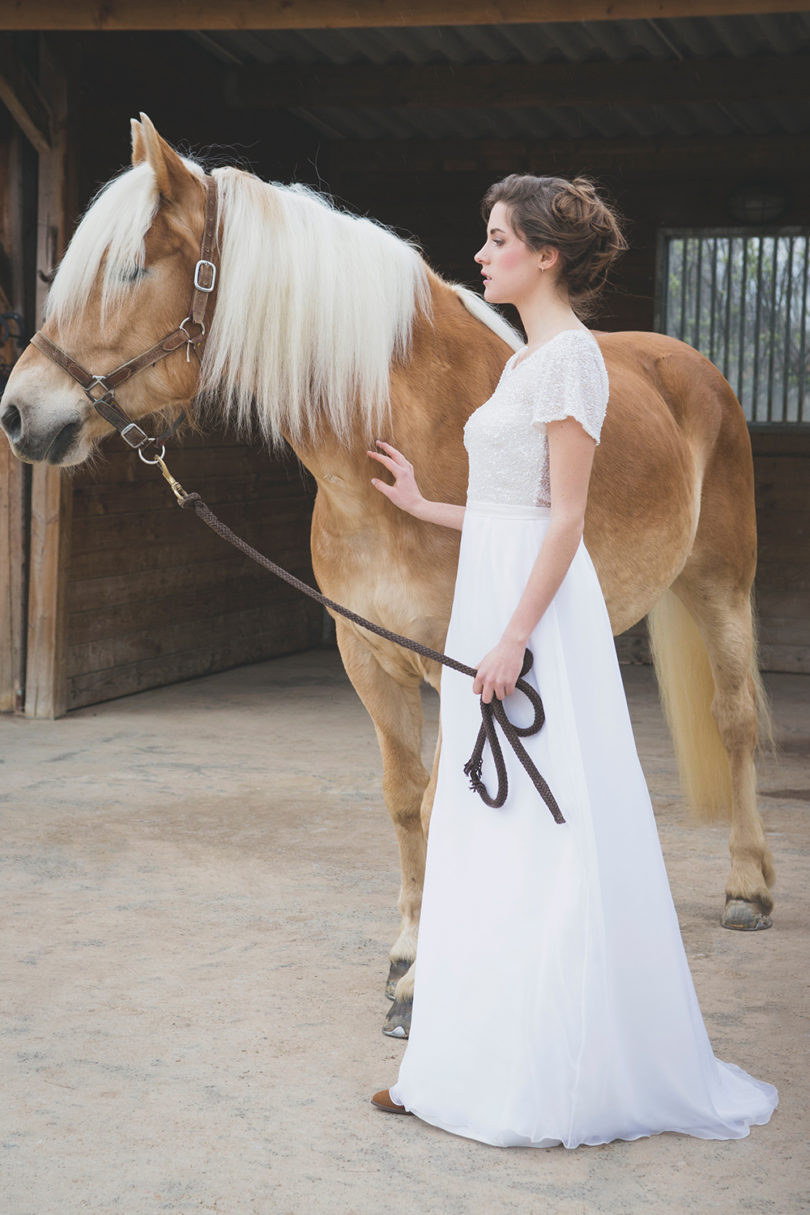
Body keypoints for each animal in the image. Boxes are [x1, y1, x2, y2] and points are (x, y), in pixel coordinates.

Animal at [1, 118, 772, 1040]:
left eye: (127, 270)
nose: (17, 414)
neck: (405, 440)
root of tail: (693, 367)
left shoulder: (464, 663)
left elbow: (444, 802)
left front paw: (422, 984)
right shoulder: (368, 656)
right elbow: (406, 799)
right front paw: (408, 951)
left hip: (721, 587)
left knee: (735, 721)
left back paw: (747, 885)